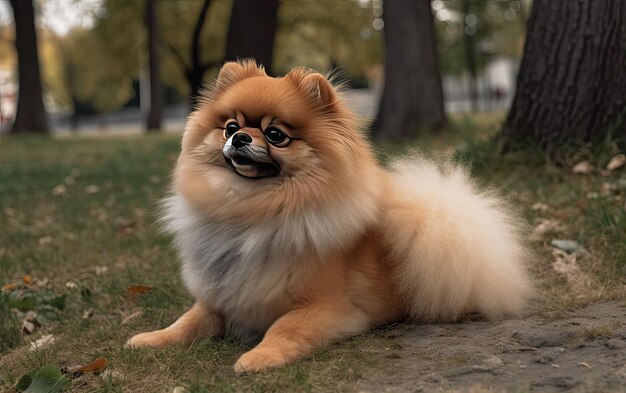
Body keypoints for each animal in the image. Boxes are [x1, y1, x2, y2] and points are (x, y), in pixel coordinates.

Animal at [128, 59, 532, 372]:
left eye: (275, 135)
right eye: (230, 126)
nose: (240, 138)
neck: (250, 210)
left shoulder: (326, 307)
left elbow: (285, 327)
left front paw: (259, 357)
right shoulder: (217, 298)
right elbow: (186, 321)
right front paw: (150, 339)